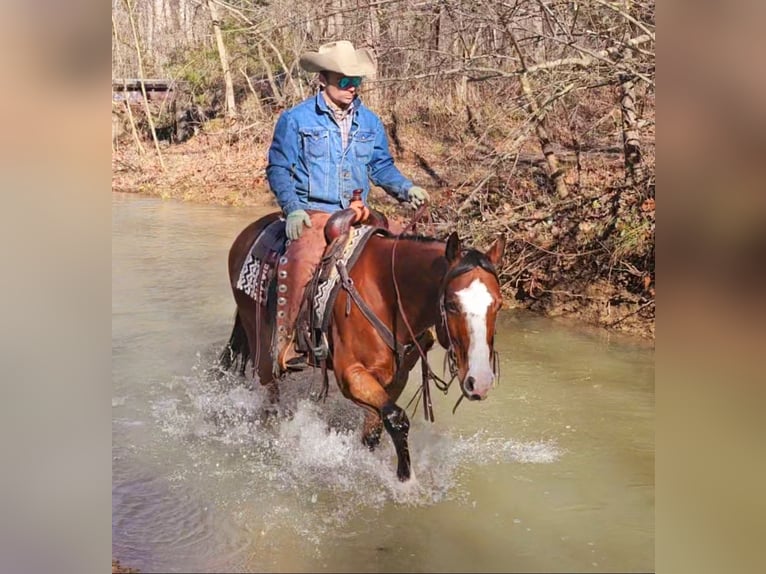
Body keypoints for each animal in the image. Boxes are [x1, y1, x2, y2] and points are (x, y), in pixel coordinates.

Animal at [219, 209, 508, 484]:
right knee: (270, 395)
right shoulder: (351, 374)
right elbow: (396, 419)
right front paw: (406, 481)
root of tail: (248, 233)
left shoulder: (396, 377)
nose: (480, 382)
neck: (386, 292)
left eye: (498, 304)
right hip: (260, 341)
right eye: (451, 304)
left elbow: (376, 428)